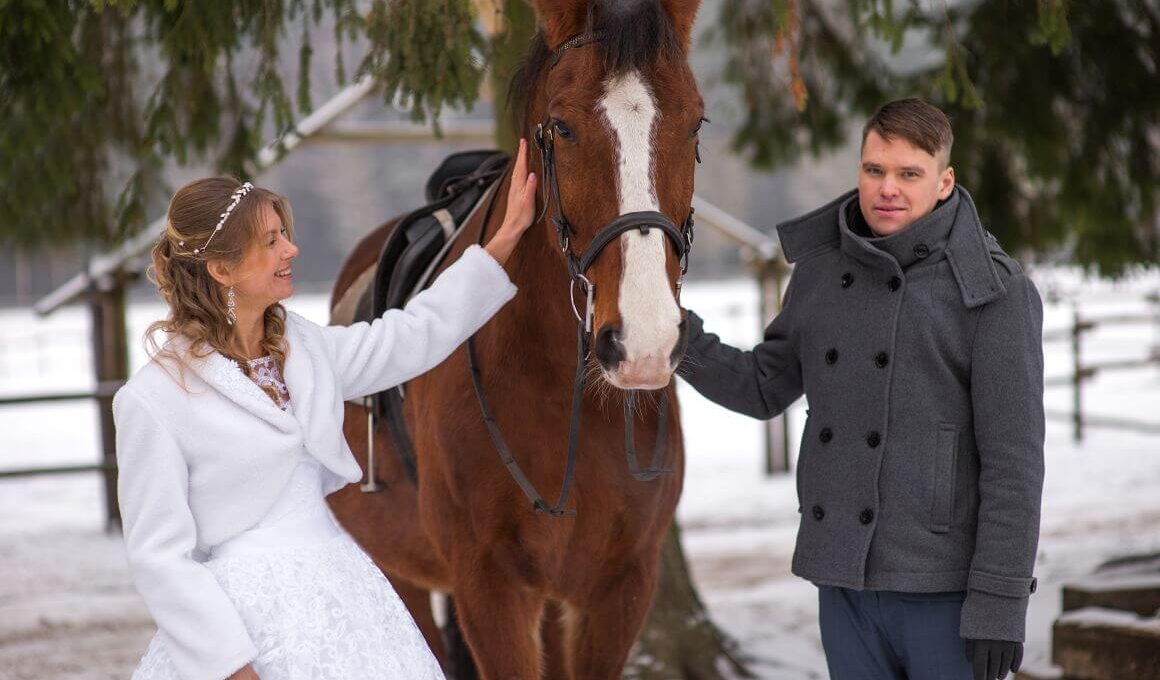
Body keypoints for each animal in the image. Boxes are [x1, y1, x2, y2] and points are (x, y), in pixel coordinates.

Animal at [331, 2, 700, 673]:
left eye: (694, 124)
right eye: (563, 127)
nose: (644, 341)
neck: (559, 391)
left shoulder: (620, 588)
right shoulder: (489, 587)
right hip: (405, 576)